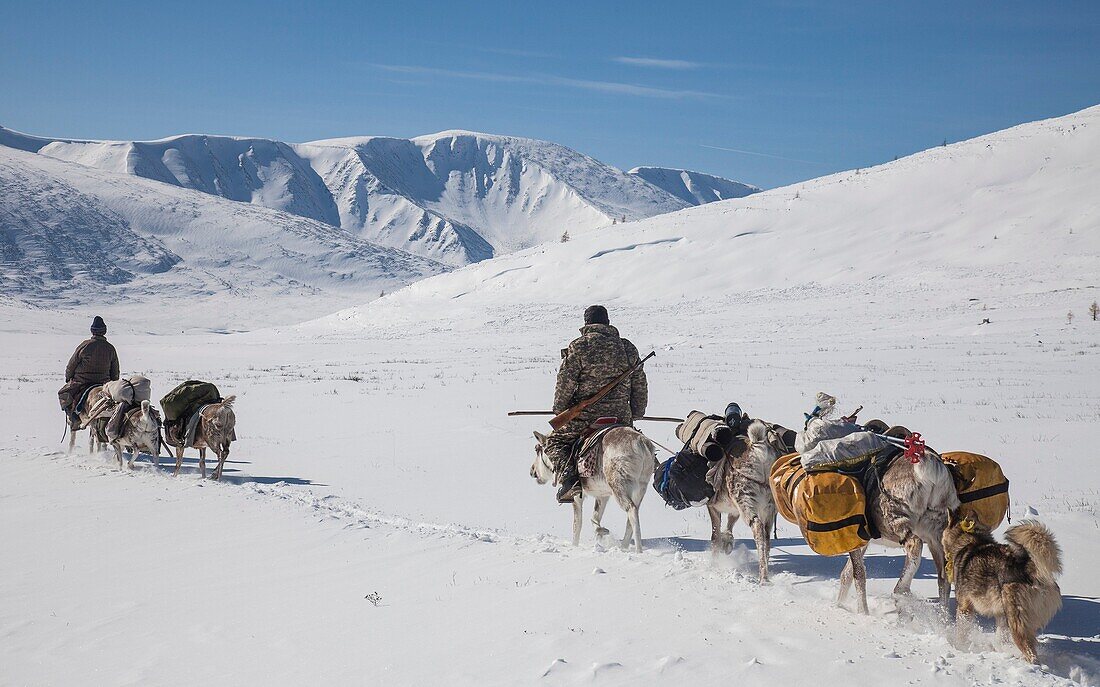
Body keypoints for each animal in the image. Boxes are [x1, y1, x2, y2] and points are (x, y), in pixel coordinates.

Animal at [941, 512, 1060, 663]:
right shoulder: (1000, 616)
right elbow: (999, 638)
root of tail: (1030, 567)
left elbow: (962, 632)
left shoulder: (964, 607)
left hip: (1016, 622)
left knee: (1030, 653)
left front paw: (959, 647)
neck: (970, 541)